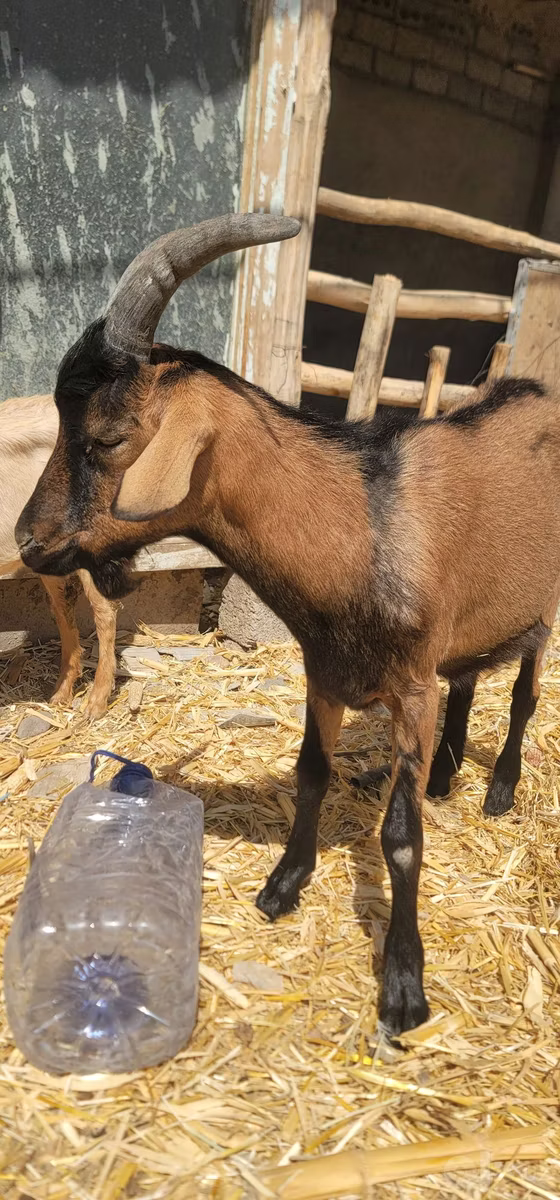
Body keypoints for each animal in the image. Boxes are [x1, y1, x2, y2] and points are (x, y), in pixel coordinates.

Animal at [16, 214, 560, 1035]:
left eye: (107, 438)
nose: (28, 541)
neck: (359, 529)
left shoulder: (410, 686)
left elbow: (401, 841)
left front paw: (404, 987)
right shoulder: (324, 674)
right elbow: (309, 776)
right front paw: (282, 885)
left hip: (545, 601)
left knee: (524, 688)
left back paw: (496, 788)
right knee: (468, 678)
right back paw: (442, 776)